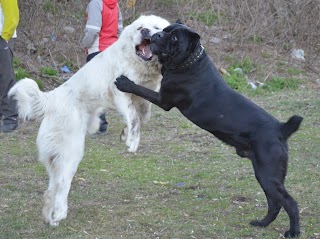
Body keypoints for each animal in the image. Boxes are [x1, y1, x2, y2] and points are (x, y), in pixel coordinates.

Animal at [8, 14, 170, 226]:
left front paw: (126, 134)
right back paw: (60, 213)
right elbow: (134, 117)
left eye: (156, 28)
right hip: (72, 151)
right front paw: (132, 140)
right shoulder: (120, 92)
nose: (145, 32)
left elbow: (143, 117)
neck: (139, 64)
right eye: (140, 28)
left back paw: (50, 218)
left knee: (51, 189)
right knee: (62, 184)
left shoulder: (144, 97)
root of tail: (51, 98)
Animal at [115, 22, 302, 237]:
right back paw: (262, 223)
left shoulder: (164, 100)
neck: (190, 62)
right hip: (266, 176)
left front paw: (124, 82)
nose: (158, 35)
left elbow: (140, 89)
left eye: (174, 38)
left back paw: (293, 231)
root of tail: (281, 129)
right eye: (166, 29)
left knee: (289, 202)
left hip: (267, 174)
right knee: (275, 203)